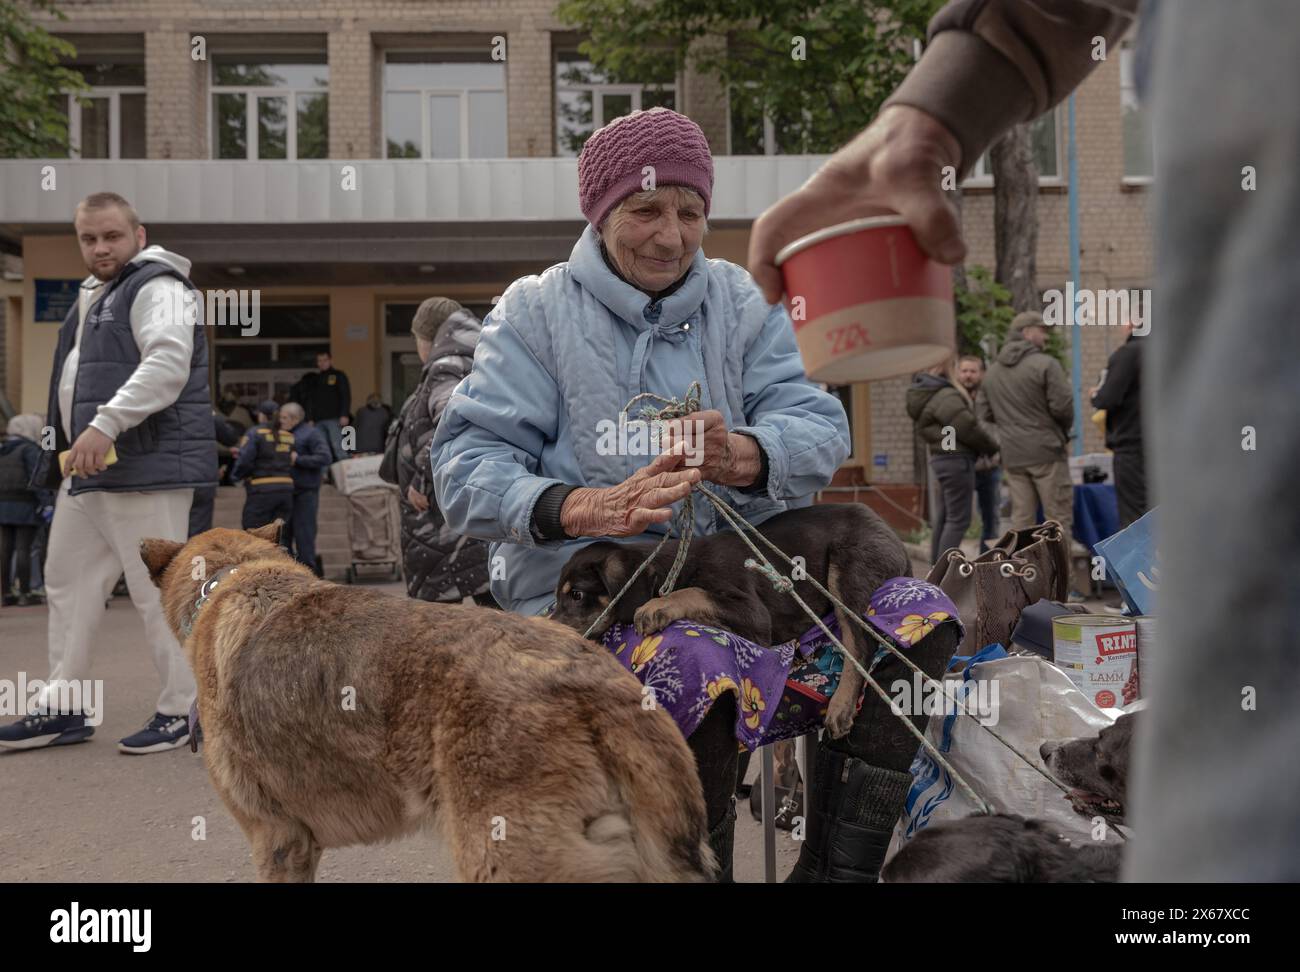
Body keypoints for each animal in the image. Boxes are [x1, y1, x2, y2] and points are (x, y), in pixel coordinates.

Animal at [553, 501, 909, 738]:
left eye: (576, 595)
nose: (550, 629)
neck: (677, 565)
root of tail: (893, 535)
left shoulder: (754, 614)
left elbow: (695, 591)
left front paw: (657, 606)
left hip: (846, 570)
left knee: (859, 648)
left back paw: (841, 706)